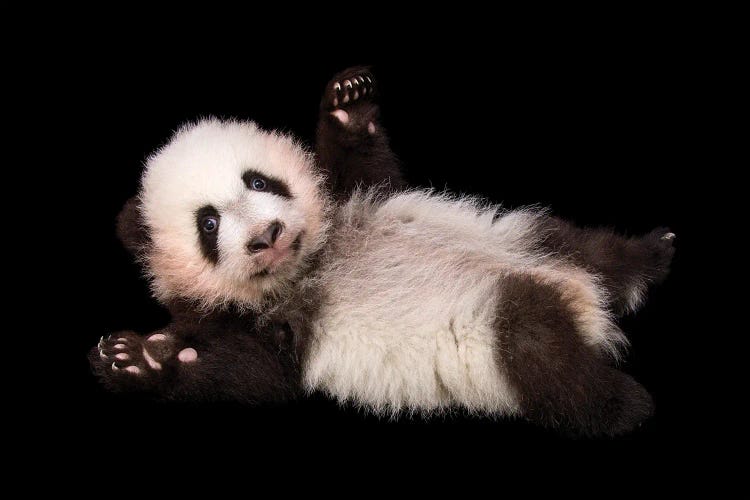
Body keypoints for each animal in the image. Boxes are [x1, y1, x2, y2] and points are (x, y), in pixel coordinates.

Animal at [91, 67, 680, 438]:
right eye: (209, 224)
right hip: (495, 328)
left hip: (518, 235)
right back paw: (627, 403)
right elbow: (259, 375)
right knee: (545, 360)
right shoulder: (263, 327)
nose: (268, 234)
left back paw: (652, 255)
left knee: (589, 248)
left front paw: (348, 103)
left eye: (259, 181)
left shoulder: (357, 199)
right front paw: (141, 360)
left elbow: (370, 172)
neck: (306, 265)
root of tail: (583, 303)